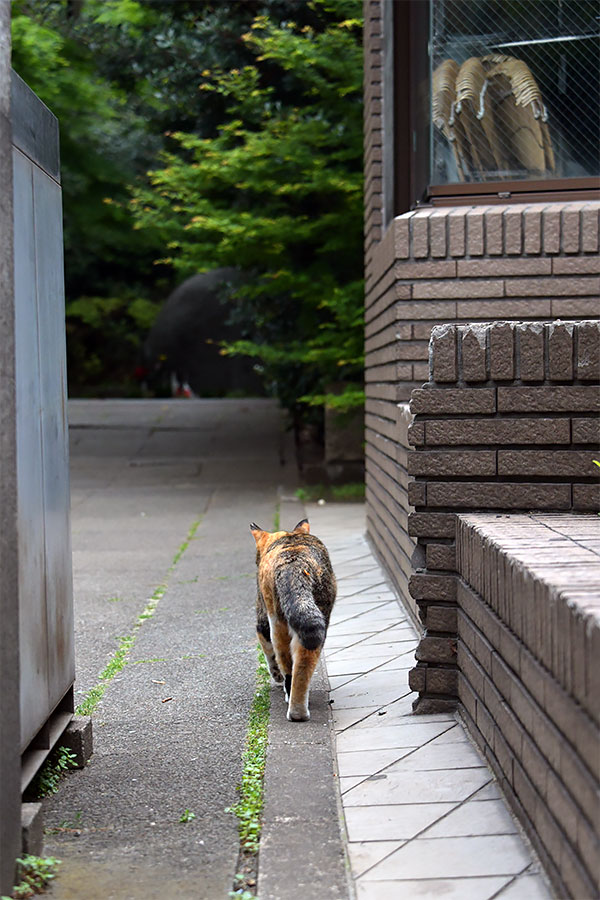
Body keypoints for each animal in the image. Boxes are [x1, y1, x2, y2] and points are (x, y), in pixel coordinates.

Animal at [247, 516, 332, 720]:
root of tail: (295, 565)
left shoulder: (262, 620)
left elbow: (267, 651)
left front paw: (275, 675)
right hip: (318, 616)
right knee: (304, 659)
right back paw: (299, 712)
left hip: (276, 620)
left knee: (287, 662)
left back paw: (293, 706)